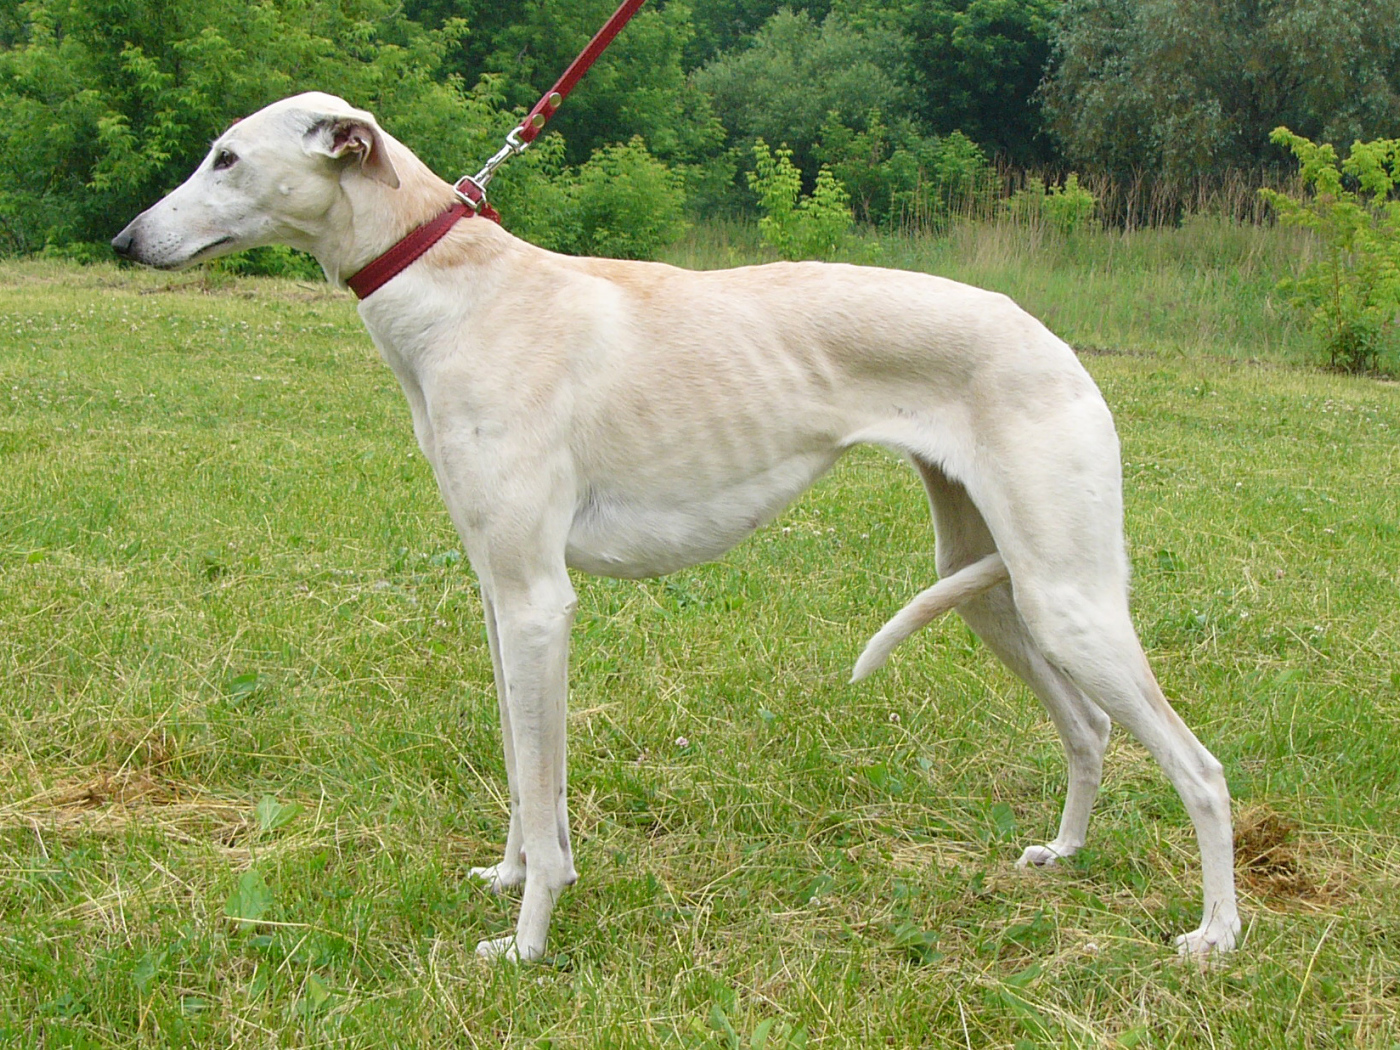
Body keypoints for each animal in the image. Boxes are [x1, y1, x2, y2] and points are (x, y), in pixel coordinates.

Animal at [112, 92, 1240, 961]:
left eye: (226, 156)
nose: (124, 242)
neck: (463, 294)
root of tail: (1053, 340)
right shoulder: (497, 597)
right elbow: (523, 777)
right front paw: (505, 878)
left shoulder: (539, 602)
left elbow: (545, 796)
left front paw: (526, 941)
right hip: (994, 585)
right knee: (1089, 729)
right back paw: (1065, 854)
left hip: (1066, 595)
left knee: (1201, 770)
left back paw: (1215, 935)